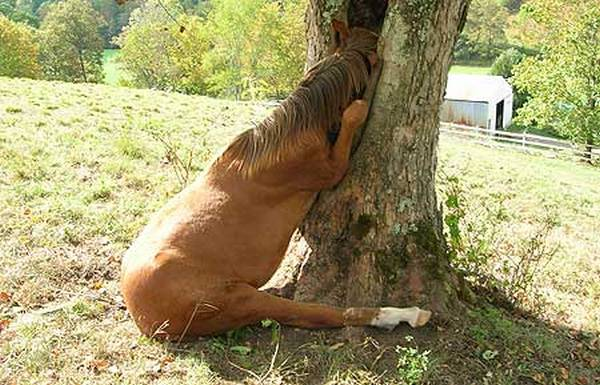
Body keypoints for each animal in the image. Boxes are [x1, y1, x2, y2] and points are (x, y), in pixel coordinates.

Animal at [120, 24, 432, 338]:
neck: (296, 130)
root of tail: (140, 314)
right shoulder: (333, 169)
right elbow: (356, 110)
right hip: (242, 300)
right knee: (320, 313)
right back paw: (402, 314)